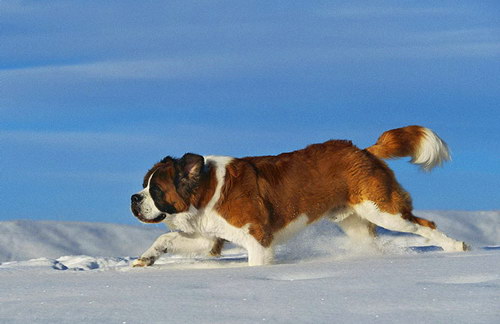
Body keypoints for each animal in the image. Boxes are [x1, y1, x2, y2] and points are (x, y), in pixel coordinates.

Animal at [131, 125, 466, 268]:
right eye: (144, 185)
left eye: (156, 190)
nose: (134, 198)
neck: (207, 190)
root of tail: (362, 150)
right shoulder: (210, 238)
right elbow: (166, 239)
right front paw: (146, 258)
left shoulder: (258, 238)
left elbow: (256, 262)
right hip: (356, 222)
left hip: (384, 210)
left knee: (425, 225)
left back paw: (457, 247)